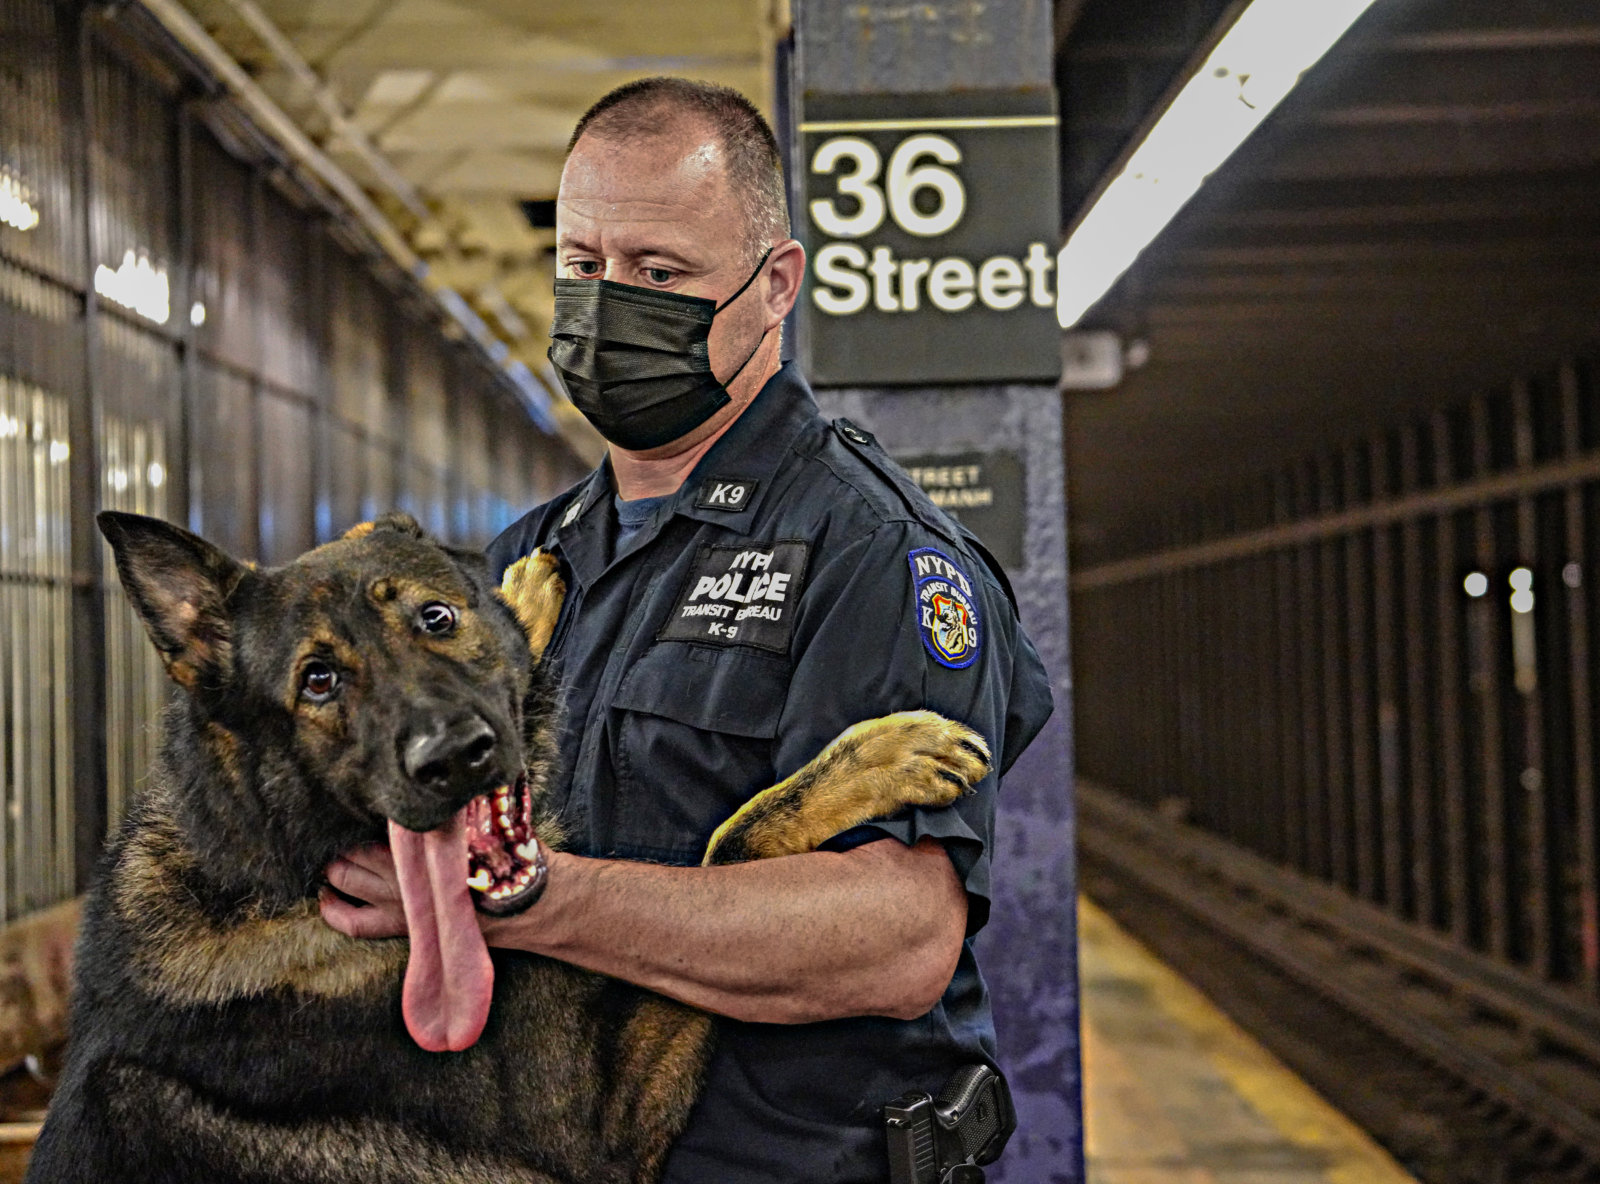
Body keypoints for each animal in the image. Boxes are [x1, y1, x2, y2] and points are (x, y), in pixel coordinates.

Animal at [28, 512, 985, 1184]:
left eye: (436, 617)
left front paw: (525, 585)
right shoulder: (605, 1134)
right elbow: (732, 841)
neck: (275, 874)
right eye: (318, 681)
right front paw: (888, 752)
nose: (454, 756)